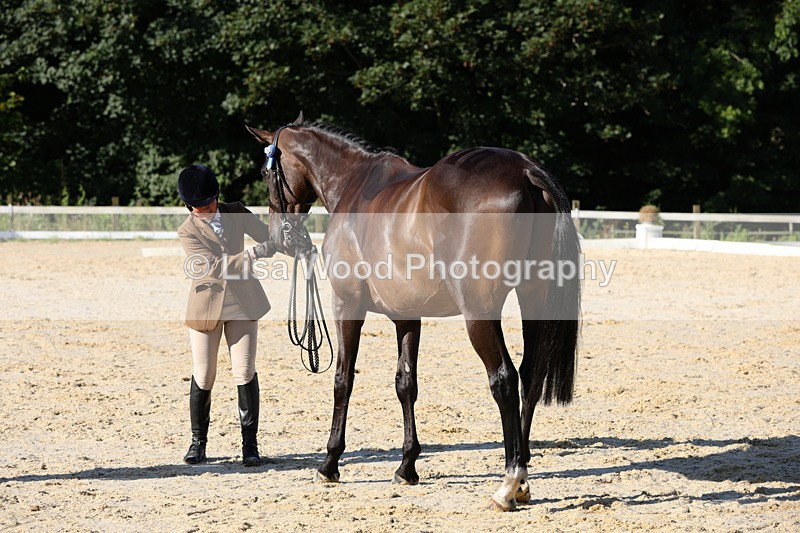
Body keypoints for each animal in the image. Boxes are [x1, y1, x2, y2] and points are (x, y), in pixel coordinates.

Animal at [247, 113, 580, 511]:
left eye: (266, 173)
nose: (277, 238)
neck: (355, 187)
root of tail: (525, 170)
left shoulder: (347, 304)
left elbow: (343, 380)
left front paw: (329, 463)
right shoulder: (407, 316)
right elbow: (406, 384)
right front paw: (407, 466)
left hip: (479, 311)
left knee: (504, 378)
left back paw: (508, 483)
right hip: (532, 298)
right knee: (529, 376)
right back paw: (524, 479)